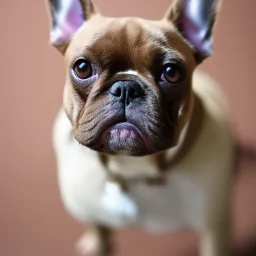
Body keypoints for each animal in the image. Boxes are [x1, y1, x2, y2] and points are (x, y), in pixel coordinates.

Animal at [45, 0, 235, 256]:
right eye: (82, 68)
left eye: (172, 72)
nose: (126, 87)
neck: (131, 167)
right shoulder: (95, 215)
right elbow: (100, 233)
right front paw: (96, 244)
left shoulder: (215, 229)